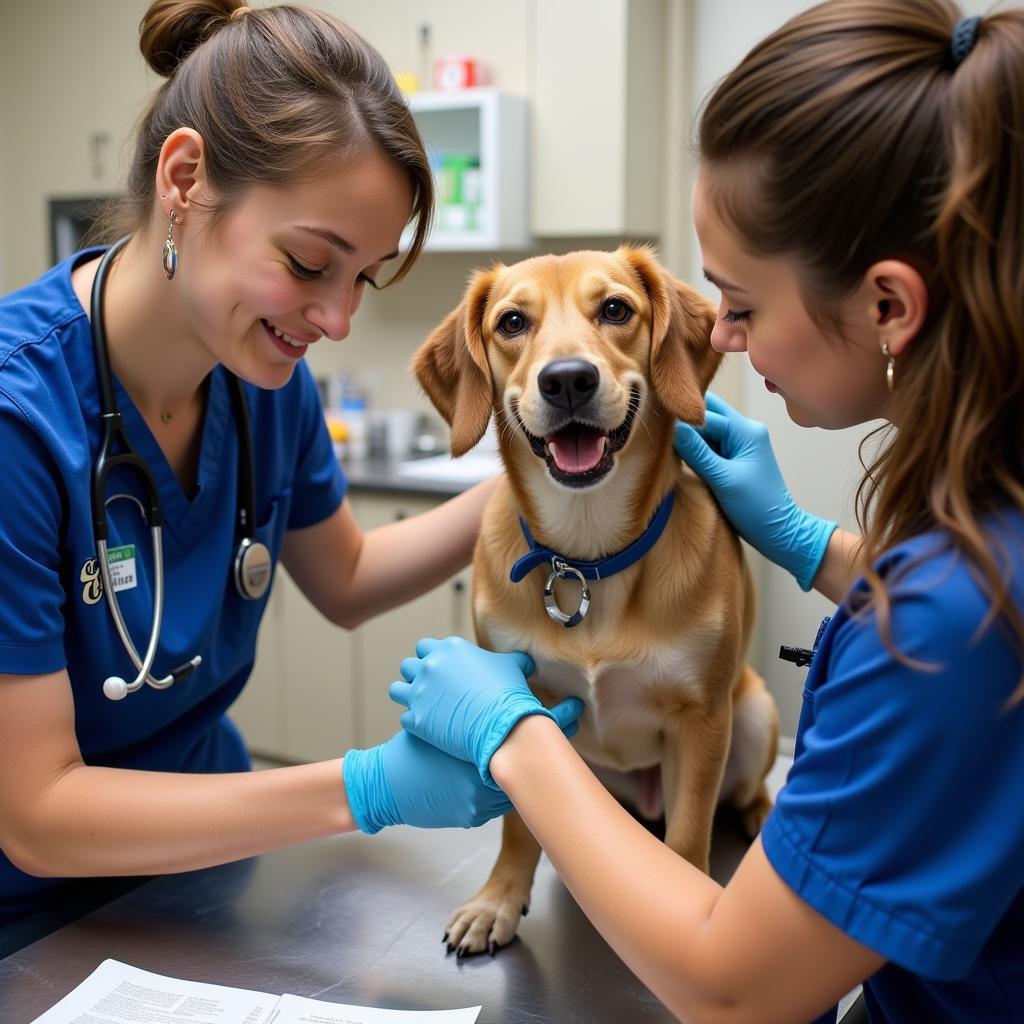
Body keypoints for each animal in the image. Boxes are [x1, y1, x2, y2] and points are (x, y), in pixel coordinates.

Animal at [407, 243, 774, 954]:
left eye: (615, 310)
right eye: (512, 321)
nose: (568, 379)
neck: (587, 555)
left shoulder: (702, 722)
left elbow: (690, 835)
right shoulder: (522, 706)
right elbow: (517, 825)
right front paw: (499, 898)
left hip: (753, 716)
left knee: (746, 795)